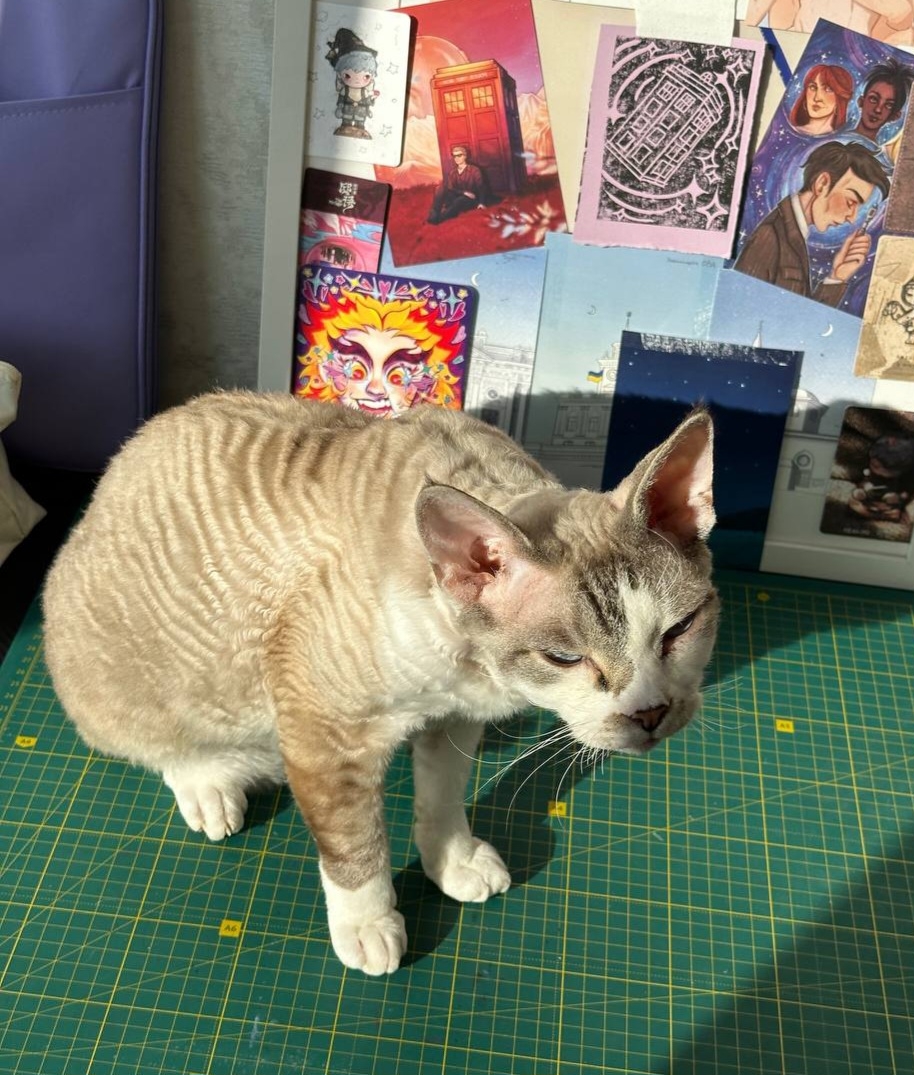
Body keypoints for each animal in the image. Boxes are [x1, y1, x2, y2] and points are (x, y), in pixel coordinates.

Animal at [42, 391, 719, 976]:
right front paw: (369, 925)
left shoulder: (455, 718)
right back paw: (211, 788)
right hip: (141, 686)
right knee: (160, 744)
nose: (651, 713)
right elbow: (353, 844)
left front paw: (452, 860)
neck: (470, 670)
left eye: (679, 629)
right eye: (564, 657)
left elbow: (442, 797)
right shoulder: (323, 732)